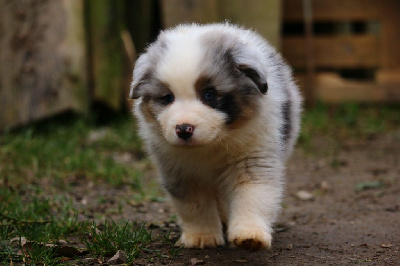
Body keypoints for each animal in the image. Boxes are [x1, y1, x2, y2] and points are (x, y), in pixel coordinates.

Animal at [130, 22, 302, 249]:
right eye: (167, 98)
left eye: (209, 94)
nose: (183, 129)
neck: (212, 144)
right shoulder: (182, 172)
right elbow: (194, 206)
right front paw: (202, 237)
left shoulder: (253, 159)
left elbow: (253, 195)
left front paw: (250, 235)